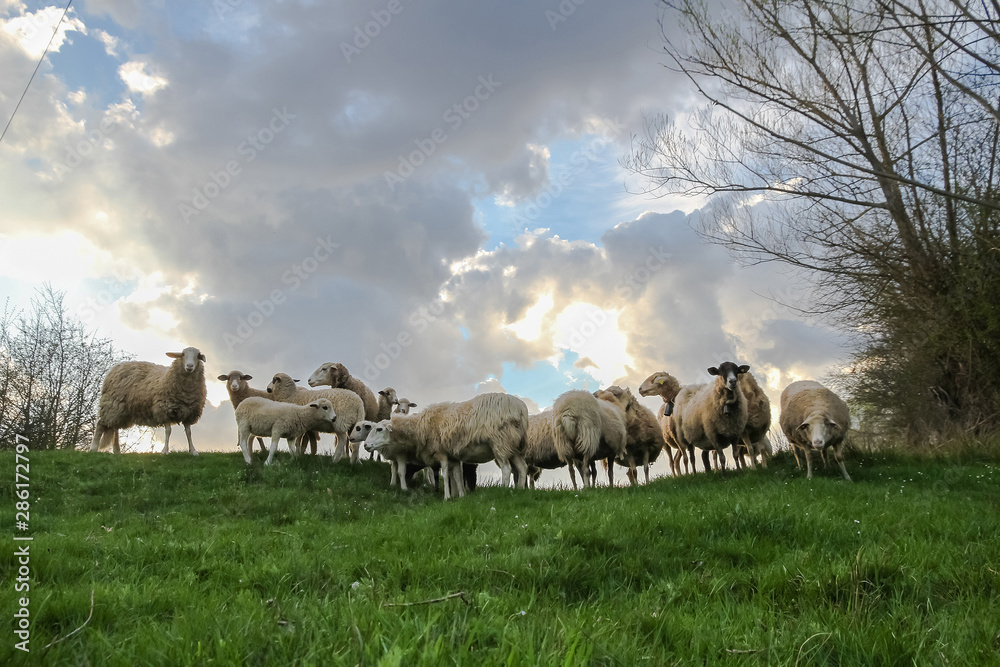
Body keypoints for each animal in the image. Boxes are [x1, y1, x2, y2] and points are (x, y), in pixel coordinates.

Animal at [364, 393, 529, 500]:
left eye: (379, 429)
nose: (365, 445)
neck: (419, 426)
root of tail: (521, 409)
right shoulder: (453, 456)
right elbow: (456, 476)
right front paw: (460, 496)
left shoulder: (442, 452)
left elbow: (445, 472)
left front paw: (447, 497)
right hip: (515, 446)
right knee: (522, 467)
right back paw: (520, 491)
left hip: (501, 442)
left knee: (506, 469)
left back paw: (504, 491)